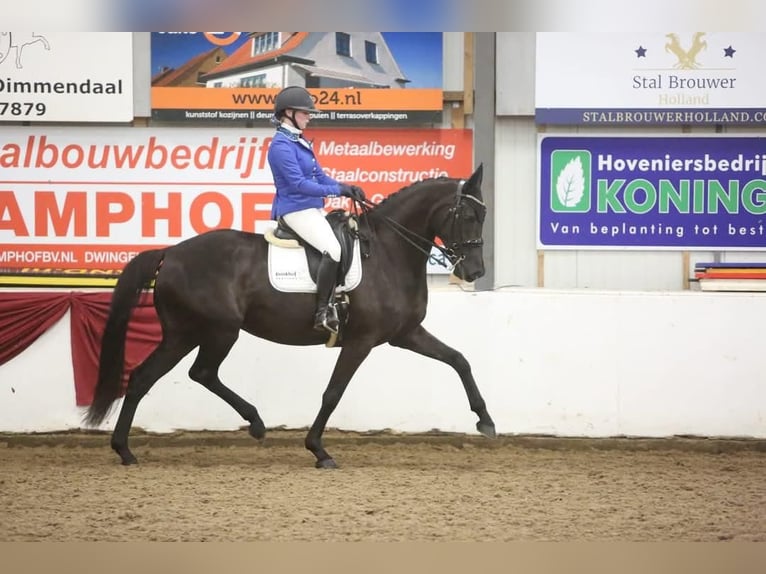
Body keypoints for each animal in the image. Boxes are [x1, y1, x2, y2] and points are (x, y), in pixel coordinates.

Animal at [84, 164, 496, 468]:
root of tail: (171, 252)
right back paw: (255, 423)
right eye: (467, 214)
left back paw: (125, 450)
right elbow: (333, 392)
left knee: (144, 378)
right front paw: (319, 450)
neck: (387, 253)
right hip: (218, 331)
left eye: (484, 214)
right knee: (199, 373)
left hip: (183, 334)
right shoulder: (361, 341)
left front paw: (486, 421)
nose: (475, 271)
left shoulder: (405, 333)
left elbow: (459, 360)